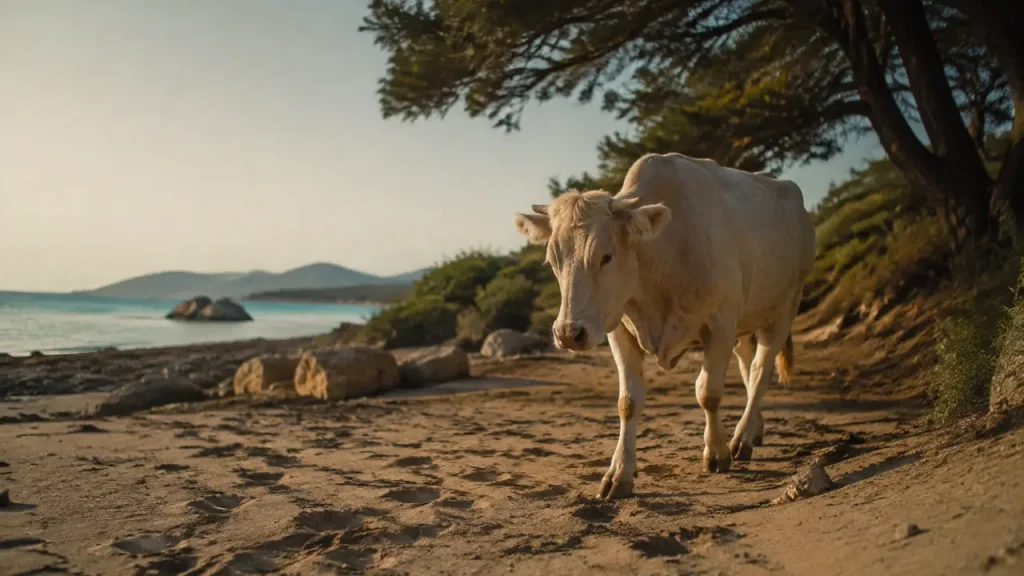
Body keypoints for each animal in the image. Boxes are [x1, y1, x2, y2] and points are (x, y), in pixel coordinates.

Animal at [513, 152, 816, 499]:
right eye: (553, 261)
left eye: (606, 256)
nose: (567, 333)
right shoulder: (618, 328)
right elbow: (628, 402)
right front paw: (620, 472)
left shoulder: (720, 325)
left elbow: (708, 393)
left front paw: (716, 452)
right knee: (748, 365)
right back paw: (755, 428)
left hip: (785, 306)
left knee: (760, 371)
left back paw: (741, 437)